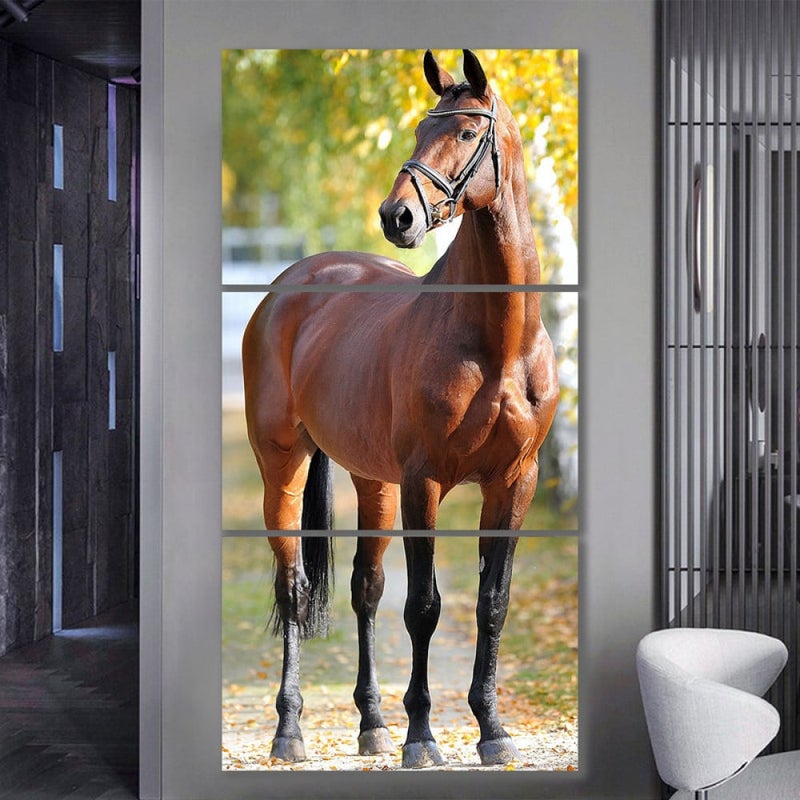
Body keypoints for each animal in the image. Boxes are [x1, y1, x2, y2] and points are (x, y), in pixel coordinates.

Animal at [242, 49, 559, 769]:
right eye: (418, 129)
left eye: (467, 132)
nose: (398, 217)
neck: (495, 340)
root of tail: (289, 287)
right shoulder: (425, 482)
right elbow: (424, 608)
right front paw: (423, 739)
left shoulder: (514, 482)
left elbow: (491, 603)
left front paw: (491, 730)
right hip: (283, 466)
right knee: (293, 587)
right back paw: (290, 731)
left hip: (373, 480)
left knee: (365, 589)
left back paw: (371, 723)